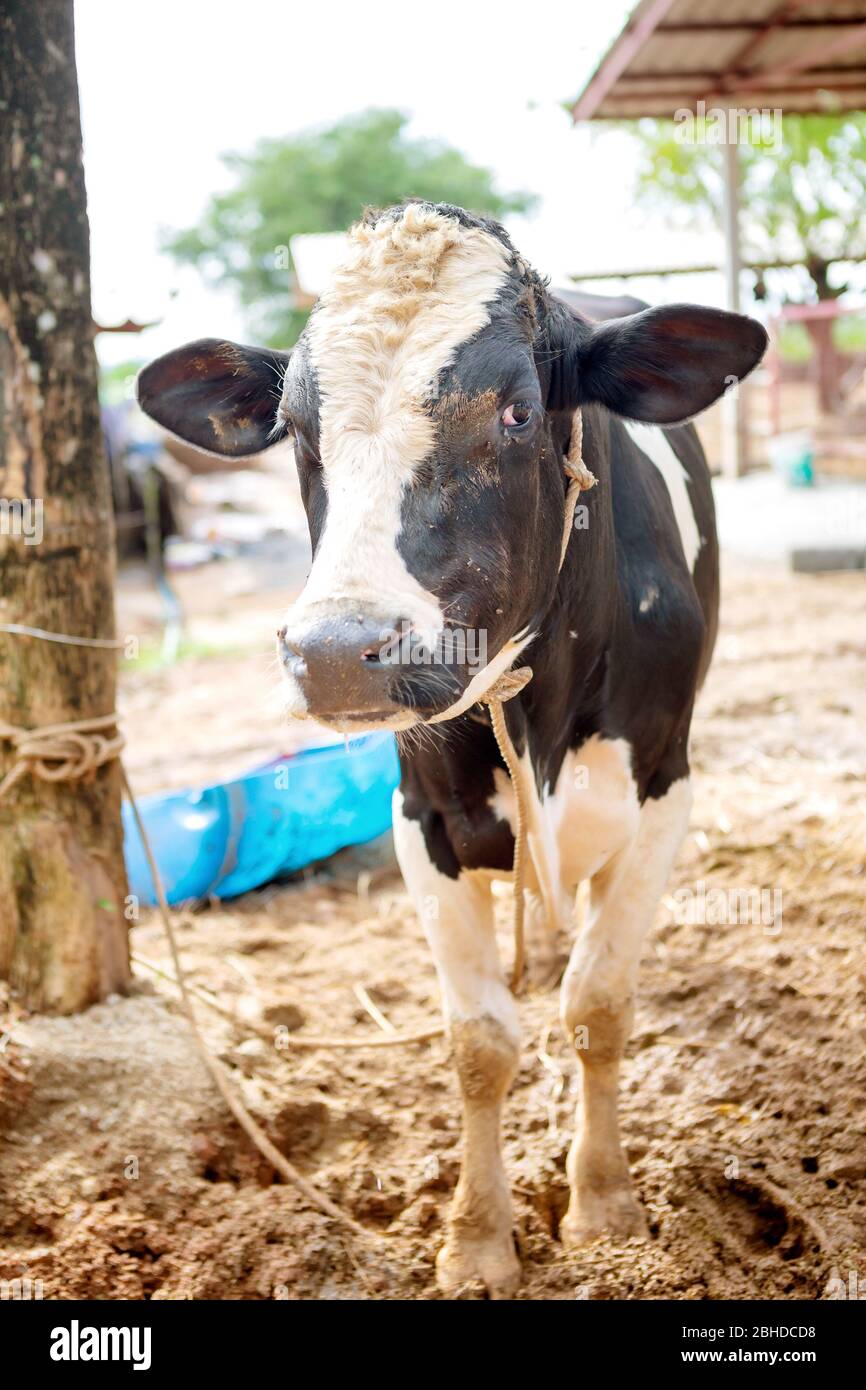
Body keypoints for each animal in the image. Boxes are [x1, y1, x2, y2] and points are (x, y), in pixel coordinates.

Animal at [138, 201, 767, 1298]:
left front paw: (602, 1203)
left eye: (515, 412)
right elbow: (479, 1041)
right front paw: (478, 1239)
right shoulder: (421, 818)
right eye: (297, 430)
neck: (540, 715)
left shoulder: (664, 786)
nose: (335, 652)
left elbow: (600, 1003)